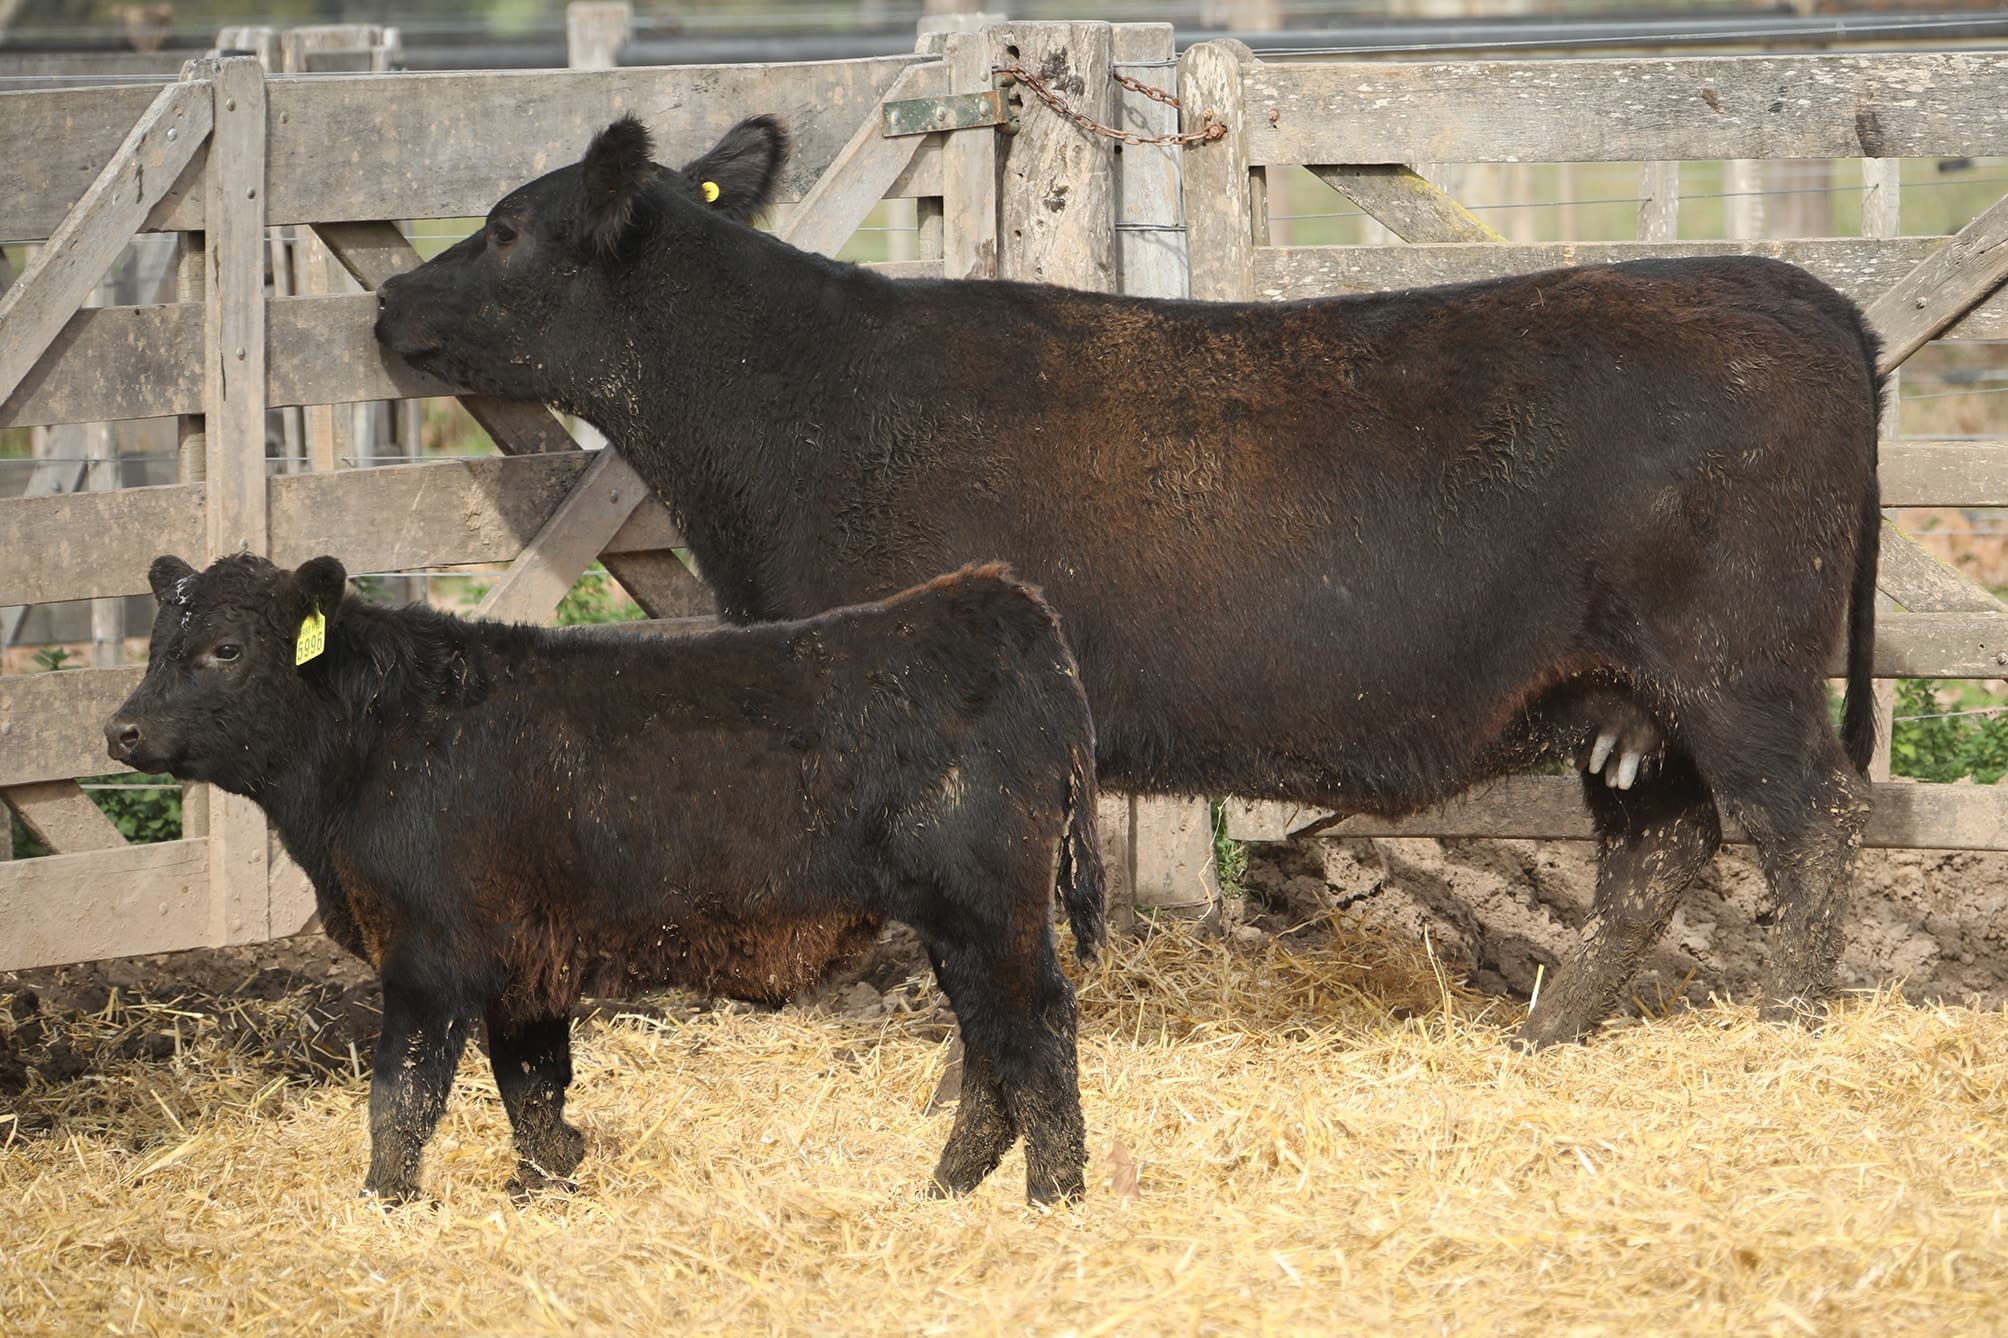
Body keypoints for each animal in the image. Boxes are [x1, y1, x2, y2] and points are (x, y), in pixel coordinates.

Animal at [105, 554, 1105, 1205]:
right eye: (156, 641)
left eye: (226, 648)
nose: (120, 730)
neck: (376, 741)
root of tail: (996, 599)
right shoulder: (521, 959)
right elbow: (531, 1082)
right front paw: (547, 1182)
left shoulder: (428, 955)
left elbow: (401, 1095)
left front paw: (384, 1205)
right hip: (967, 924)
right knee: (990, 1050)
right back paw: (947, 1189)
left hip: (986, 911)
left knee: (1034, 1032)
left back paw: (1052, 1198)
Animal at [373, 115, 1883, 1047]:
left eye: (503, 229)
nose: (386, 305)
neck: (785, 404)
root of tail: (1801, 296)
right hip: (1626, 701)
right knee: (1659, 850)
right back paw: (1550, 1029)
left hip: (1740, 672)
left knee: (1809, 824)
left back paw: (1787, 1024)